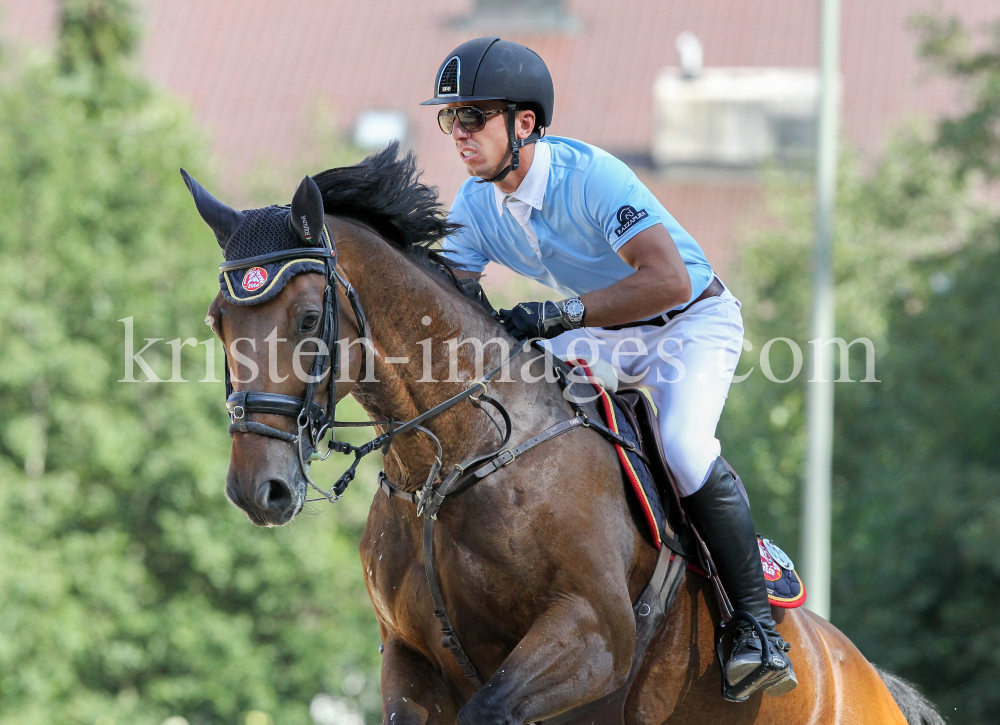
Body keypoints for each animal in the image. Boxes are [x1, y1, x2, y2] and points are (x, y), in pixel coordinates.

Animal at [184, 143, 940, 724]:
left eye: (310, 318)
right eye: (220, 320)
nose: (258, 488)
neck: (451, 465)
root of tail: (866, 674)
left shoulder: (592, 636)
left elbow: (492, 707)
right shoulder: (410, 656)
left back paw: (759, 648)